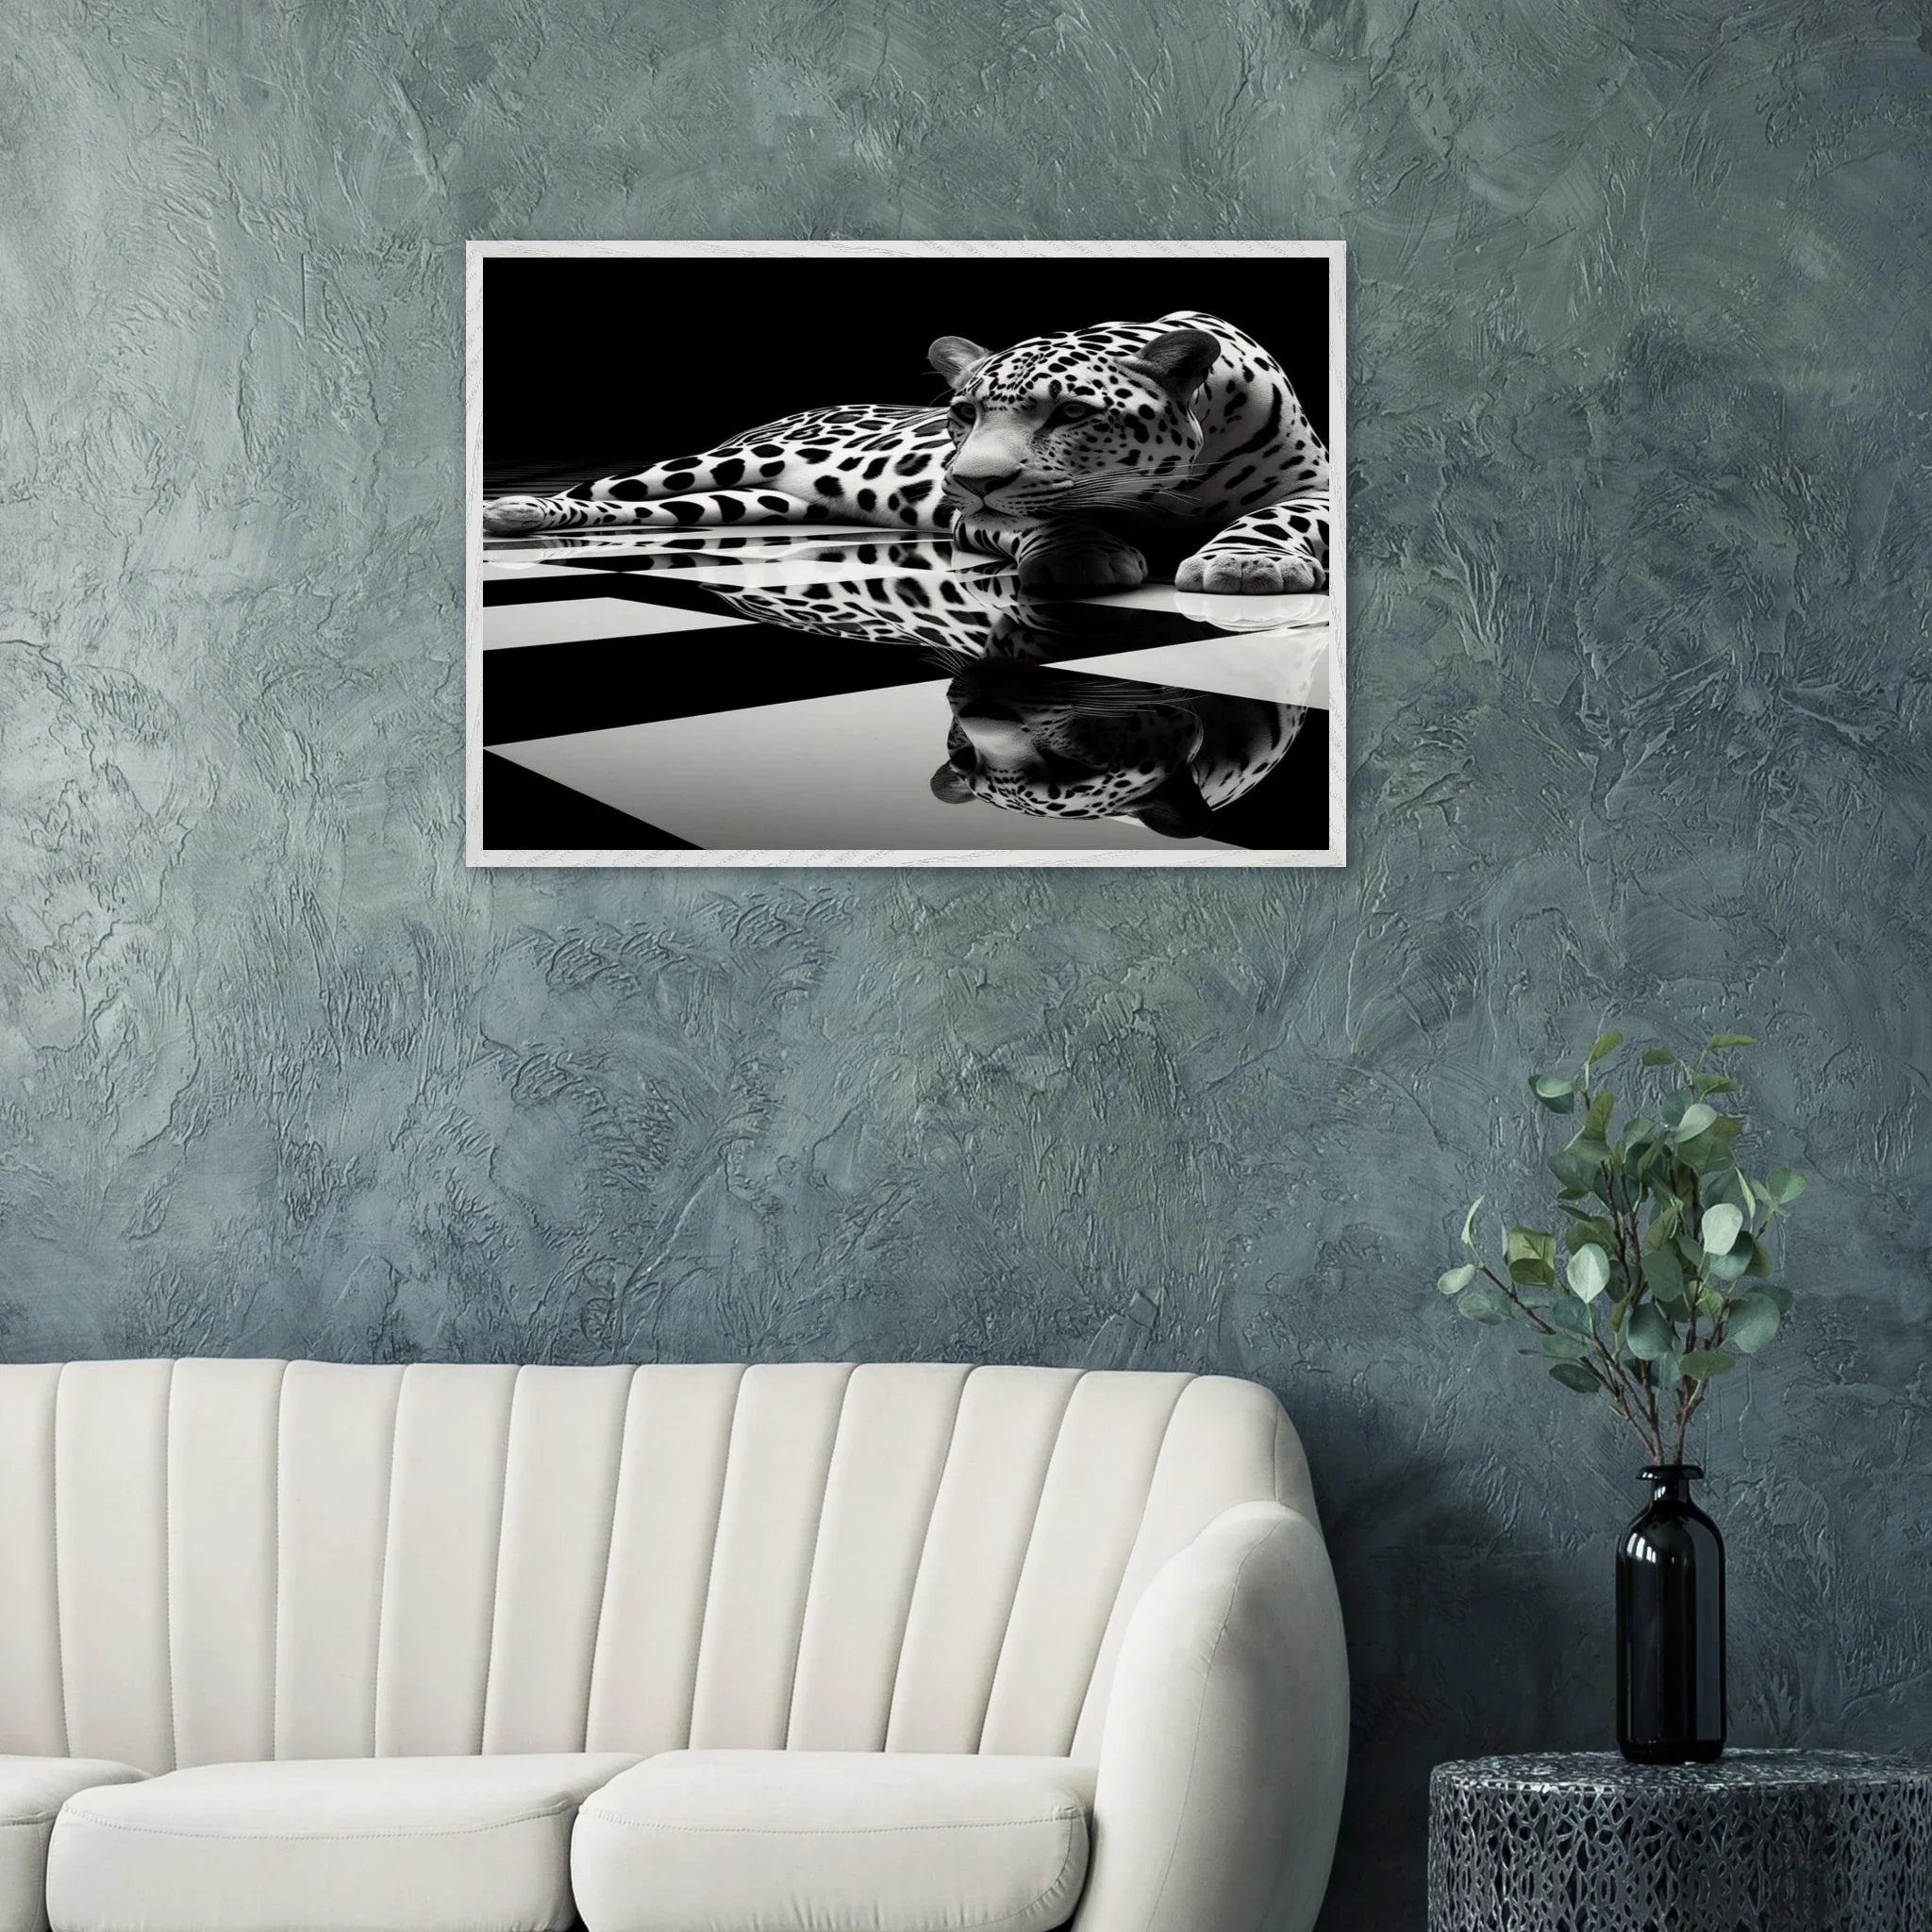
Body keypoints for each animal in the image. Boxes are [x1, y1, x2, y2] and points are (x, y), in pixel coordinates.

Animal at [482, 310, 1331, 596]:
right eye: (962, 413)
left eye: (1070, 413)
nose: (968, 479)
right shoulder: (977, 519)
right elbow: (1045, 517)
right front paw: (1081, 555)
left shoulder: (1314, 489)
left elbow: (1279, 518)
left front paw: (1247, 562)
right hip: (716, 465)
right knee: (607, 488)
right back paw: (515, 510)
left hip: (748, 502)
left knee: (660, 509)